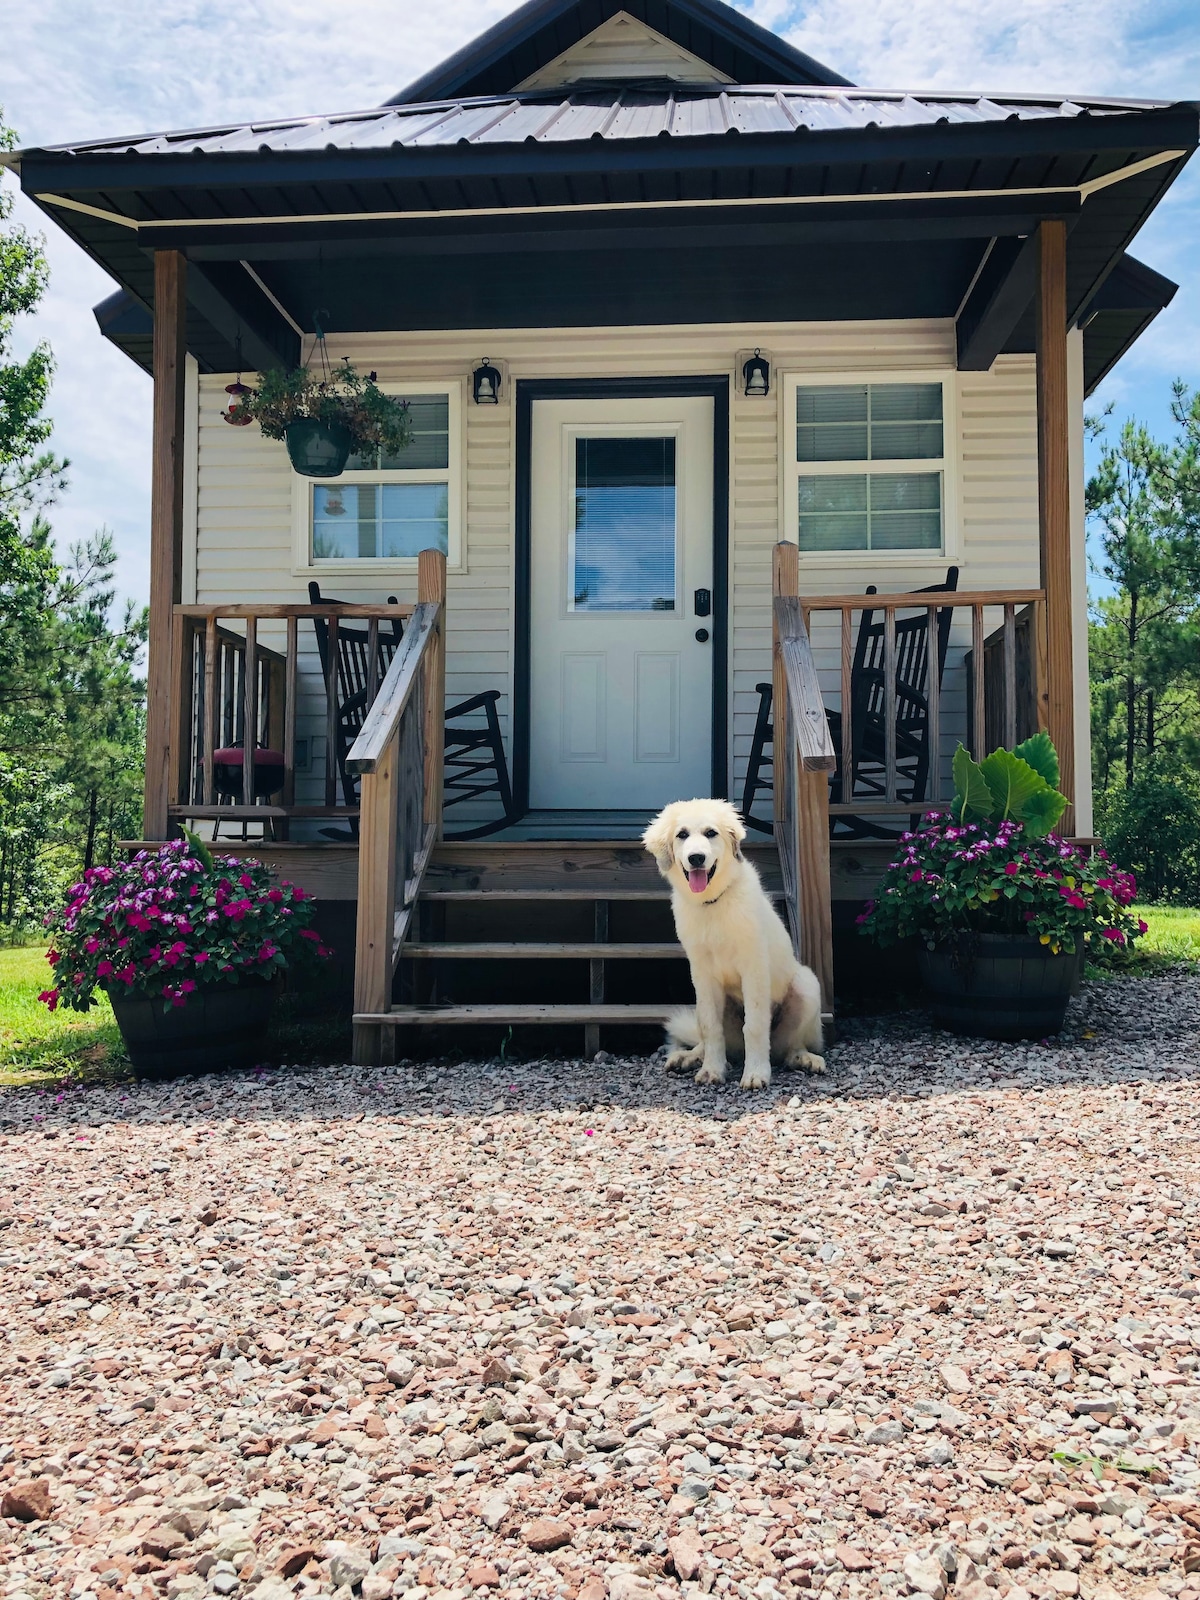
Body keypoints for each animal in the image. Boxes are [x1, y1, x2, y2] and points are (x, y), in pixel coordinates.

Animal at [649, 796, 825, 1088]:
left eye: (711, 833)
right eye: (682, 835)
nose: (696, 858)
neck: (712, 903)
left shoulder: (753, 968)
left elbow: (753, 1026)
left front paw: (755, 1074)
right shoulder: (703, 975)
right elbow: (711, 1028)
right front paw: (711, 1070)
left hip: (806, 985)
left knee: (788, 1047)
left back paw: (804, 1058)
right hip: (700, 1002)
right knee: (711, 1039)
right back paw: (689, 1057)